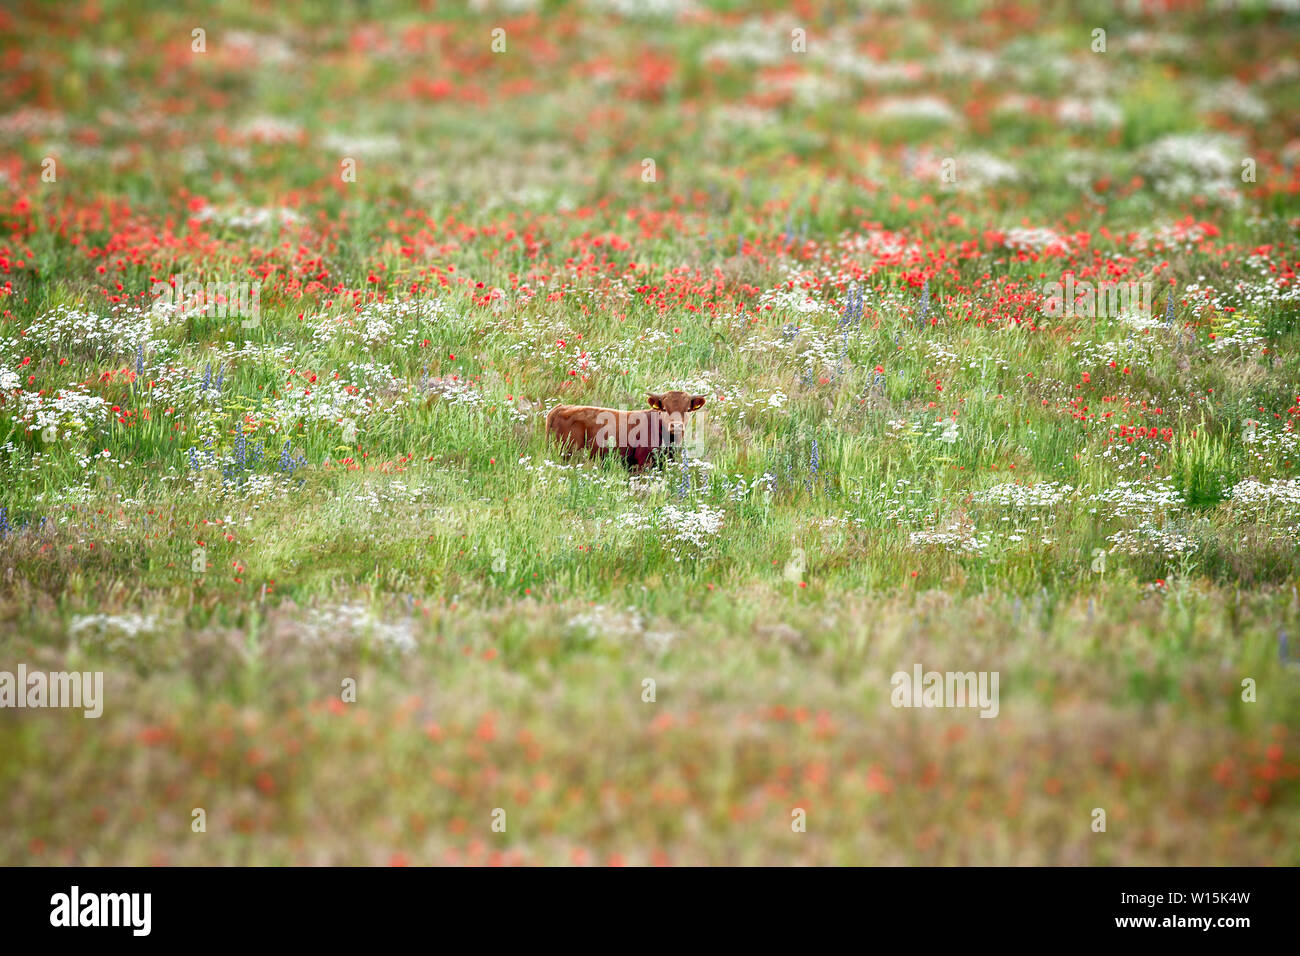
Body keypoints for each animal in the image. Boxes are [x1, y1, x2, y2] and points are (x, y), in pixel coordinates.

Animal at [543, 385, 707, 468]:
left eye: (687, 409)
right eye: (665, 409)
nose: (676, 426)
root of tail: (561, 407)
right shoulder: (644, 463)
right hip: (566, 452)